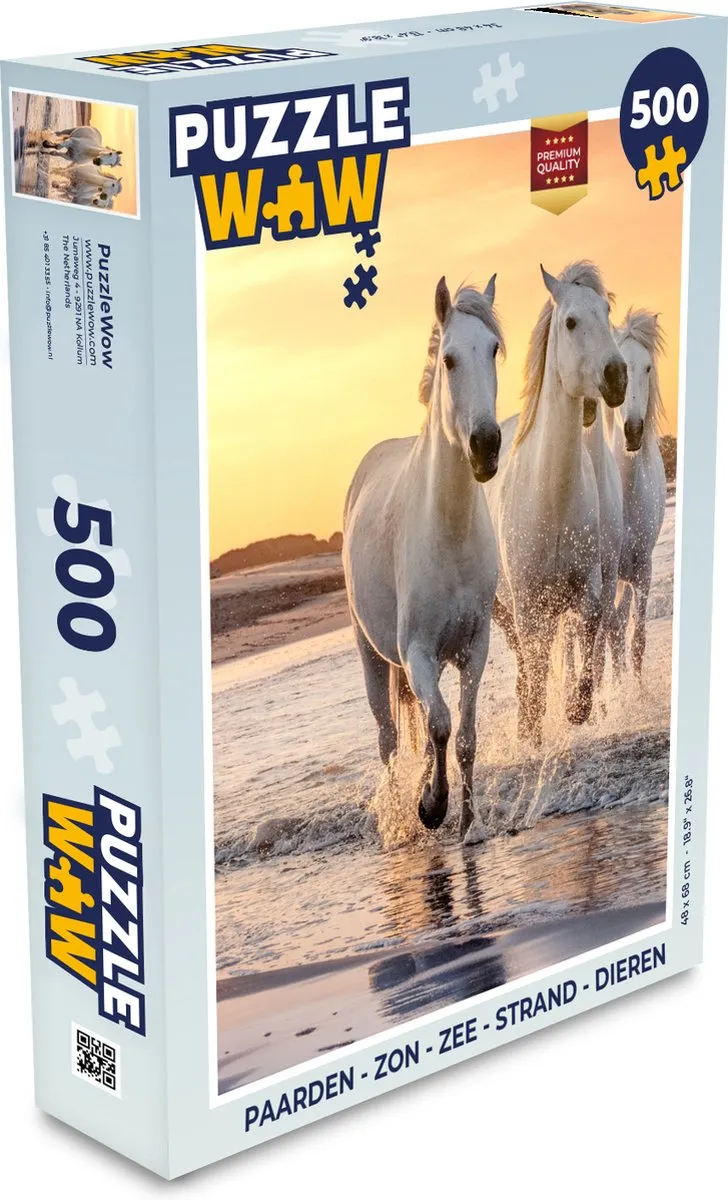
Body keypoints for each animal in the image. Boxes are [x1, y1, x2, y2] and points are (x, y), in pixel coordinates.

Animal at [343, 276, 504, 839]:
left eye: (494, 349)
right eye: (450, 359)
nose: (486, 445)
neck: (448, 532)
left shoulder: (475, 647)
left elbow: (466, 735)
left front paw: (469, 823)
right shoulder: (418, 653)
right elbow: (439, 723)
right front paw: (432, 806)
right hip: (371, 655)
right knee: (388, 739)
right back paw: (399, 816)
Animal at [487, 262, 626, 747]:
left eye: (606, 311)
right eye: (570, 322)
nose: (617, 376)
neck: (551, 499)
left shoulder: (587, 590)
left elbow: (587, 647)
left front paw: (576, 708)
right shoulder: (529, 608)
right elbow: (535, 669)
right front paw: (532, 729)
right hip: (505, 611)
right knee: (527, 664)